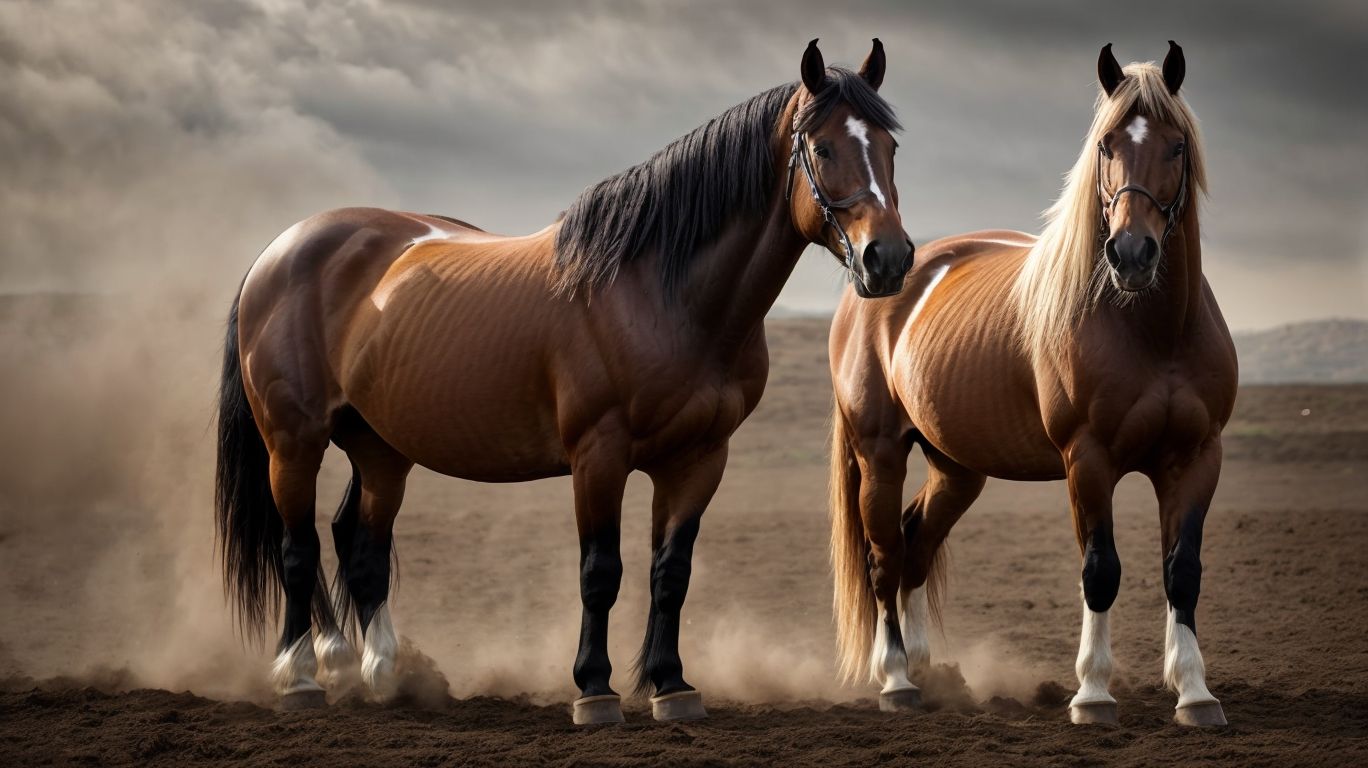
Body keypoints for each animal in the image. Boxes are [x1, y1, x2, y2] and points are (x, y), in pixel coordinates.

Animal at [216, 38, 912, 725]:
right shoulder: (597, 456)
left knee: (361, 551)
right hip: (294, 443)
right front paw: (594, 690)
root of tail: (280, 252)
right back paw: (302, 676)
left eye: (889, 146)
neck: (663, 295)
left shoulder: (699, 459)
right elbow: (600, 571)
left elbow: (671, 573)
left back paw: (382, 675)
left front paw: (670, 685)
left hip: (379, 447)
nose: (889, 259)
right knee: (298, 549)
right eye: (822, 147)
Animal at [828, 42, 1236, 726]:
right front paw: (1093, 694)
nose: (1132, 253)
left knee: (915, 543)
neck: (1154, 330)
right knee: (884, 558)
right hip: (880, 454)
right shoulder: (1087, 460)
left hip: (956, 469)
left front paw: (1195, 692)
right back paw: (897, 681)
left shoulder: (1196, 458)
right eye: (1106, 145)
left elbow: (1183, 571)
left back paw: (928, 670)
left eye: (1177, 145)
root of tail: (877, 279)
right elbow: (1100, 571)